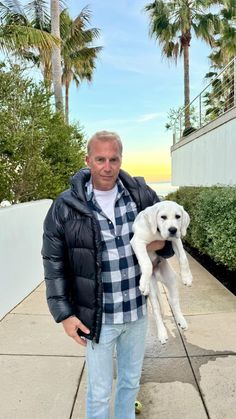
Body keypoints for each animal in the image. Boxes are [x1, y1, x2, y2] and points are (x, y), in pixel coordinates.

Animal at [130, 201, 193, 344]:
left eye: (178, 216)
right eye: (163, 217)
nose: (173, 230)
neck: (158, 233)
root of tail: (156, 274)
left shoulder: (176, 240)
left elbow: (183, 258)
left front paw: (187, 277)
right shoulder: (138, 241)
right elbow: (146, 263)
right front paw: (143, 283)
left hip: (171, 280)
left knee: (174, 302)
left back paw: (181, 320)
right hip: (153, 291)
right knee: (157, 311)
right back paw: (162, 333)